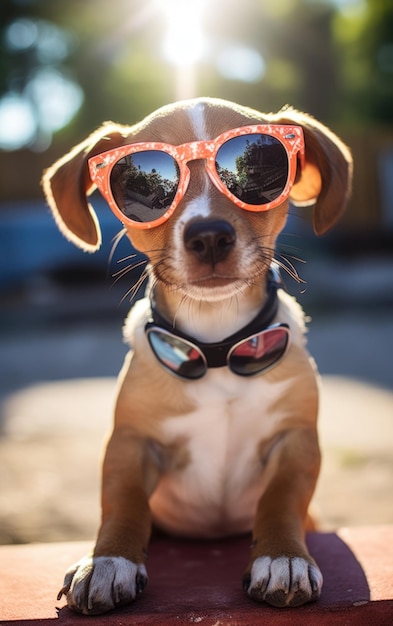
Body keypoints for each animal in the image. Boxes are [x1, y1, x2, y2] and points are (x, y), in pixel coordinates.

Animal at [43, 95, 352, 612]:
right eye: (138, 183)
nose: (209, 235)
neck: (217, 346)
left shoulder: (295, 441)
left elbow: (281, 499)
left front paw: (283, 556)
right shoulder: (130, 443)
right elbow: (122, 503)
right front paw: (107, 560)